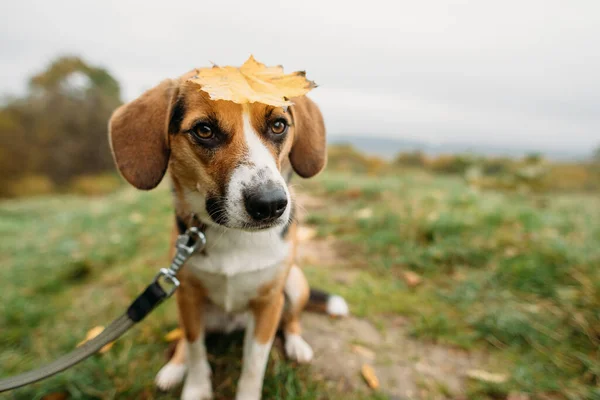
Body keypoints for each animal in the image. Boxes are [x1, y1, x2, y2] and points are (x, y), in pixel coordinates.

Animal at [108, 72, 346, 400]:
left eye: (278, 125)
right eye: (204, 130)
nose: (270, 205)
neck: (234, 235)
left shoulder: (269, 305)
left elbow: (253, 365)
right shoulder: (188, 296)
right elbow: (195, 351)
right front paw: (196, 388)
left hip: (295, 283)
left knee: (292, 319)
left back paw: (297, 344)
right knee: (185, 342)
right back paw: (174, 368)